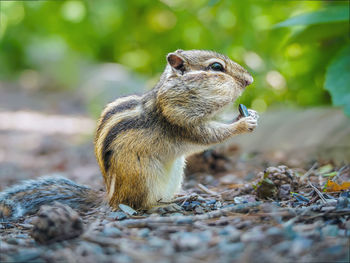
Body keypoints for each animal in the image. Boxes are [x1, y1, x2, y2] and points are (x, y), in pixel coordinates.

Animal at [0, 48, 258, 222]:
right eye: (216, 68)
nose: (250, 80)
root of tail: (109, 197)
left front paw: (250, 113)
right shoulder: (178, 118)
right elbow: (208, 135)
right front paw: (243, 123)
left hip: (175, 171)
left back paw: (179, 198)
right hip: (142, 174)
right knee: (137, 204)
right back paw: (160, 208)